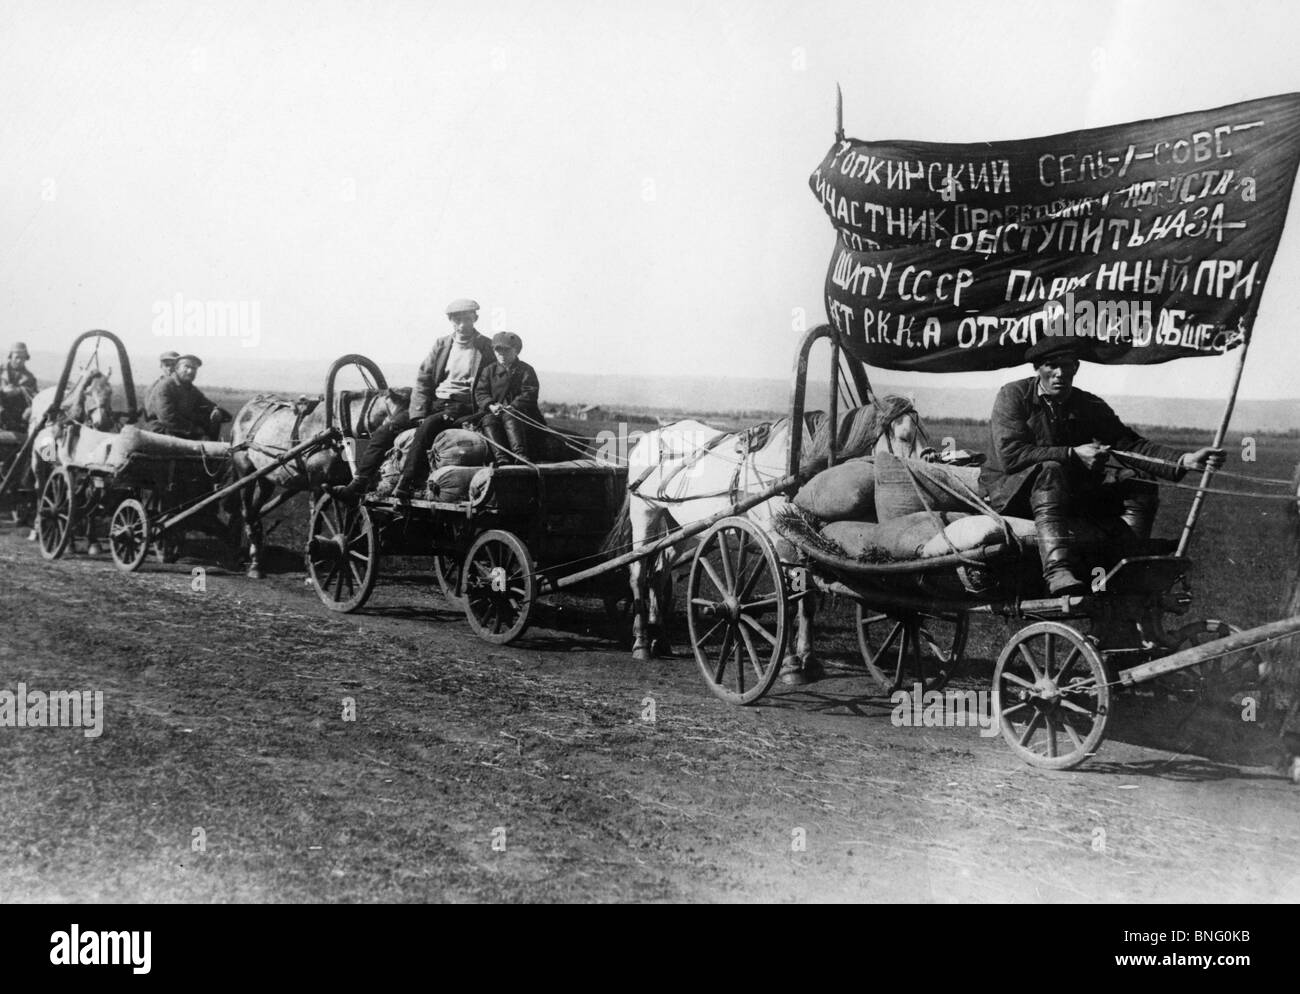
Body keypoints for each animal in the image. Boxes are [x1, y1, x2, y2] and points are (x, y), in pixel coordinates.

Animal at [228, 384, 408, 576]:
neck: (339, 430)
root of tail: (248, 406)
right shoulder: (317, 485)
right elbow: (317, 520)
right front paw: (313, 565)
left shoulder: (346, 487)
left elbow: (354, 525)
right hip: (245, 470)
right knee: (247, 512)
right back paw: (254, 563)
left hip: (265, 478)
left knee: (255, 512)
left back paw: (255, 559)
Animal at [603, 395, 930, 675]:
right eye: (904, 436)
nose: (925, 475)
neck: (794, 471)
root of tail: (651, 435)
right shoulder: (779, 542)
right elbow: (789, 599)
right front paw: (790, 664)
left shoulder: (802, 544)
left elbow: (808, 600)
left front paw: (808, 660)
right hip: (645, 514)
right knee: (638, 572)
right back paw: (642, 642)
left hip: (684, 529)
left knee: (660, 572)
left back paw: (661, 639)